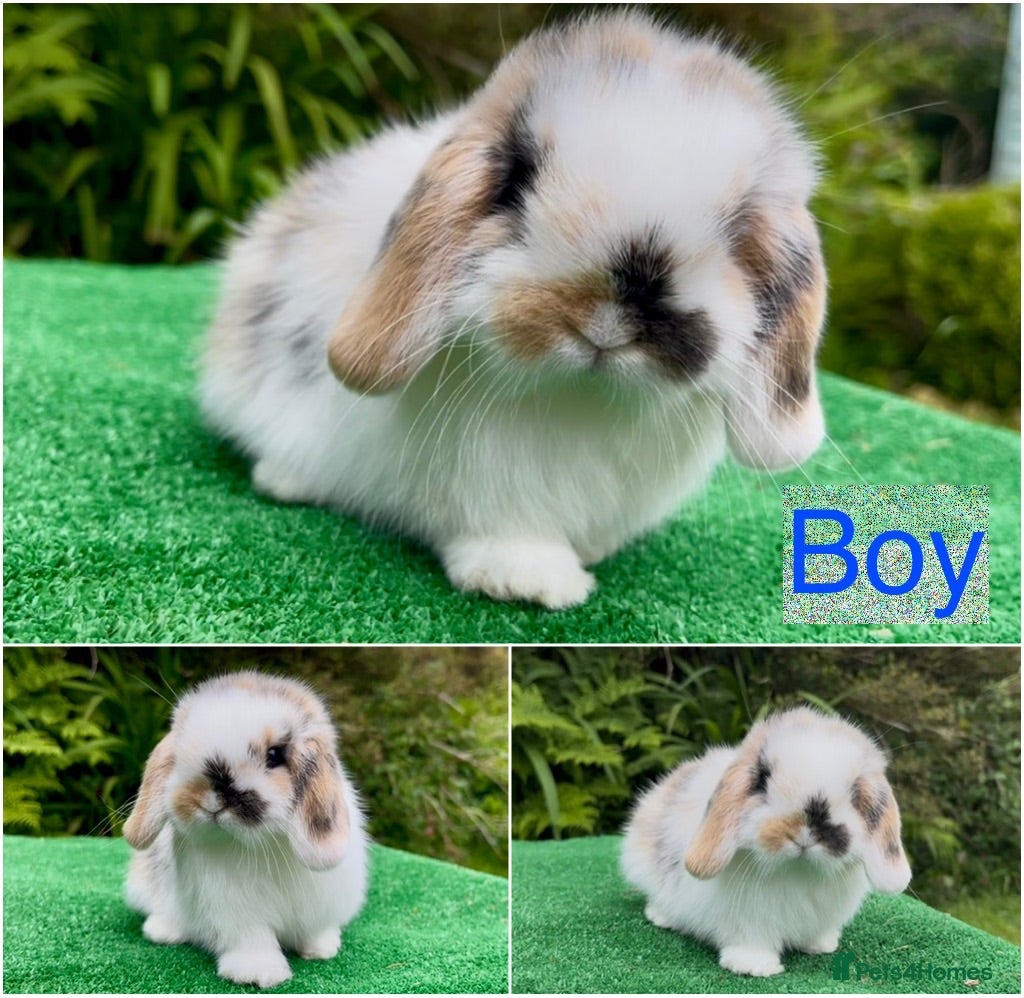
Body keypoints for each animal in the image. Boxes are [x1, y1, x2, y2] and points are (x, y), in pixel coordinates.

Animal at [122, 671, 369, 988]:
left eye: (275, 755)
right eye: (182, 748)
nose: (214, 797)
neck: (267, 845)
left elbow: (316, 930)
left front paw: (322, 949)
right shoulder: (237, 914)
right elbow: (252, 941)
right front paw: (259, 974)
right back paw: (161, 930)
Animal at [199, 11, 827, 610]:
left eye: (739, 226)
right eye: (517, 181)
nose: (608, 320)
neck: (581, 400)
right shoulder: (489, 491)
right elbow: (508, 535)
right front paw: (530, 582)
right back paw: (284, 480)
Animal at [620, 707, 912, 977]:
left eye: (855, 792)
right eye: (762, 778)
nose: (806, 832)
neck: (797, 871)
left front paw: (821, 945)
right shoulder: (747, 922)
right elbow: (750, 941)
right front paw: (753, 967)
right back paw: (661, 917)